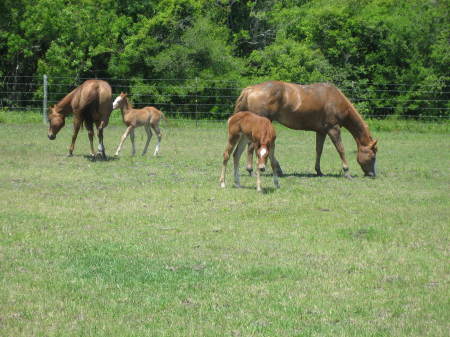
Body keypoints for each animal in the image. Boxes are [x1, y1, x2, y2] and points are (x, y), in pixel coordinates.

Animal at [234, 80, 378, 177]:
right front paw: (346, 171)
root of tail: (250, 89)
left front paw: (319, 171)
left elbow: (319, 150)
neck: (335, 99)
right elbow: (340, 149)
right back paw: (252, 170)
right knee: (252, 147)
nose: (372, 174)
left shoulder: (321, 132)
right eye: (372, 156)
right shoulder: (333, 129)